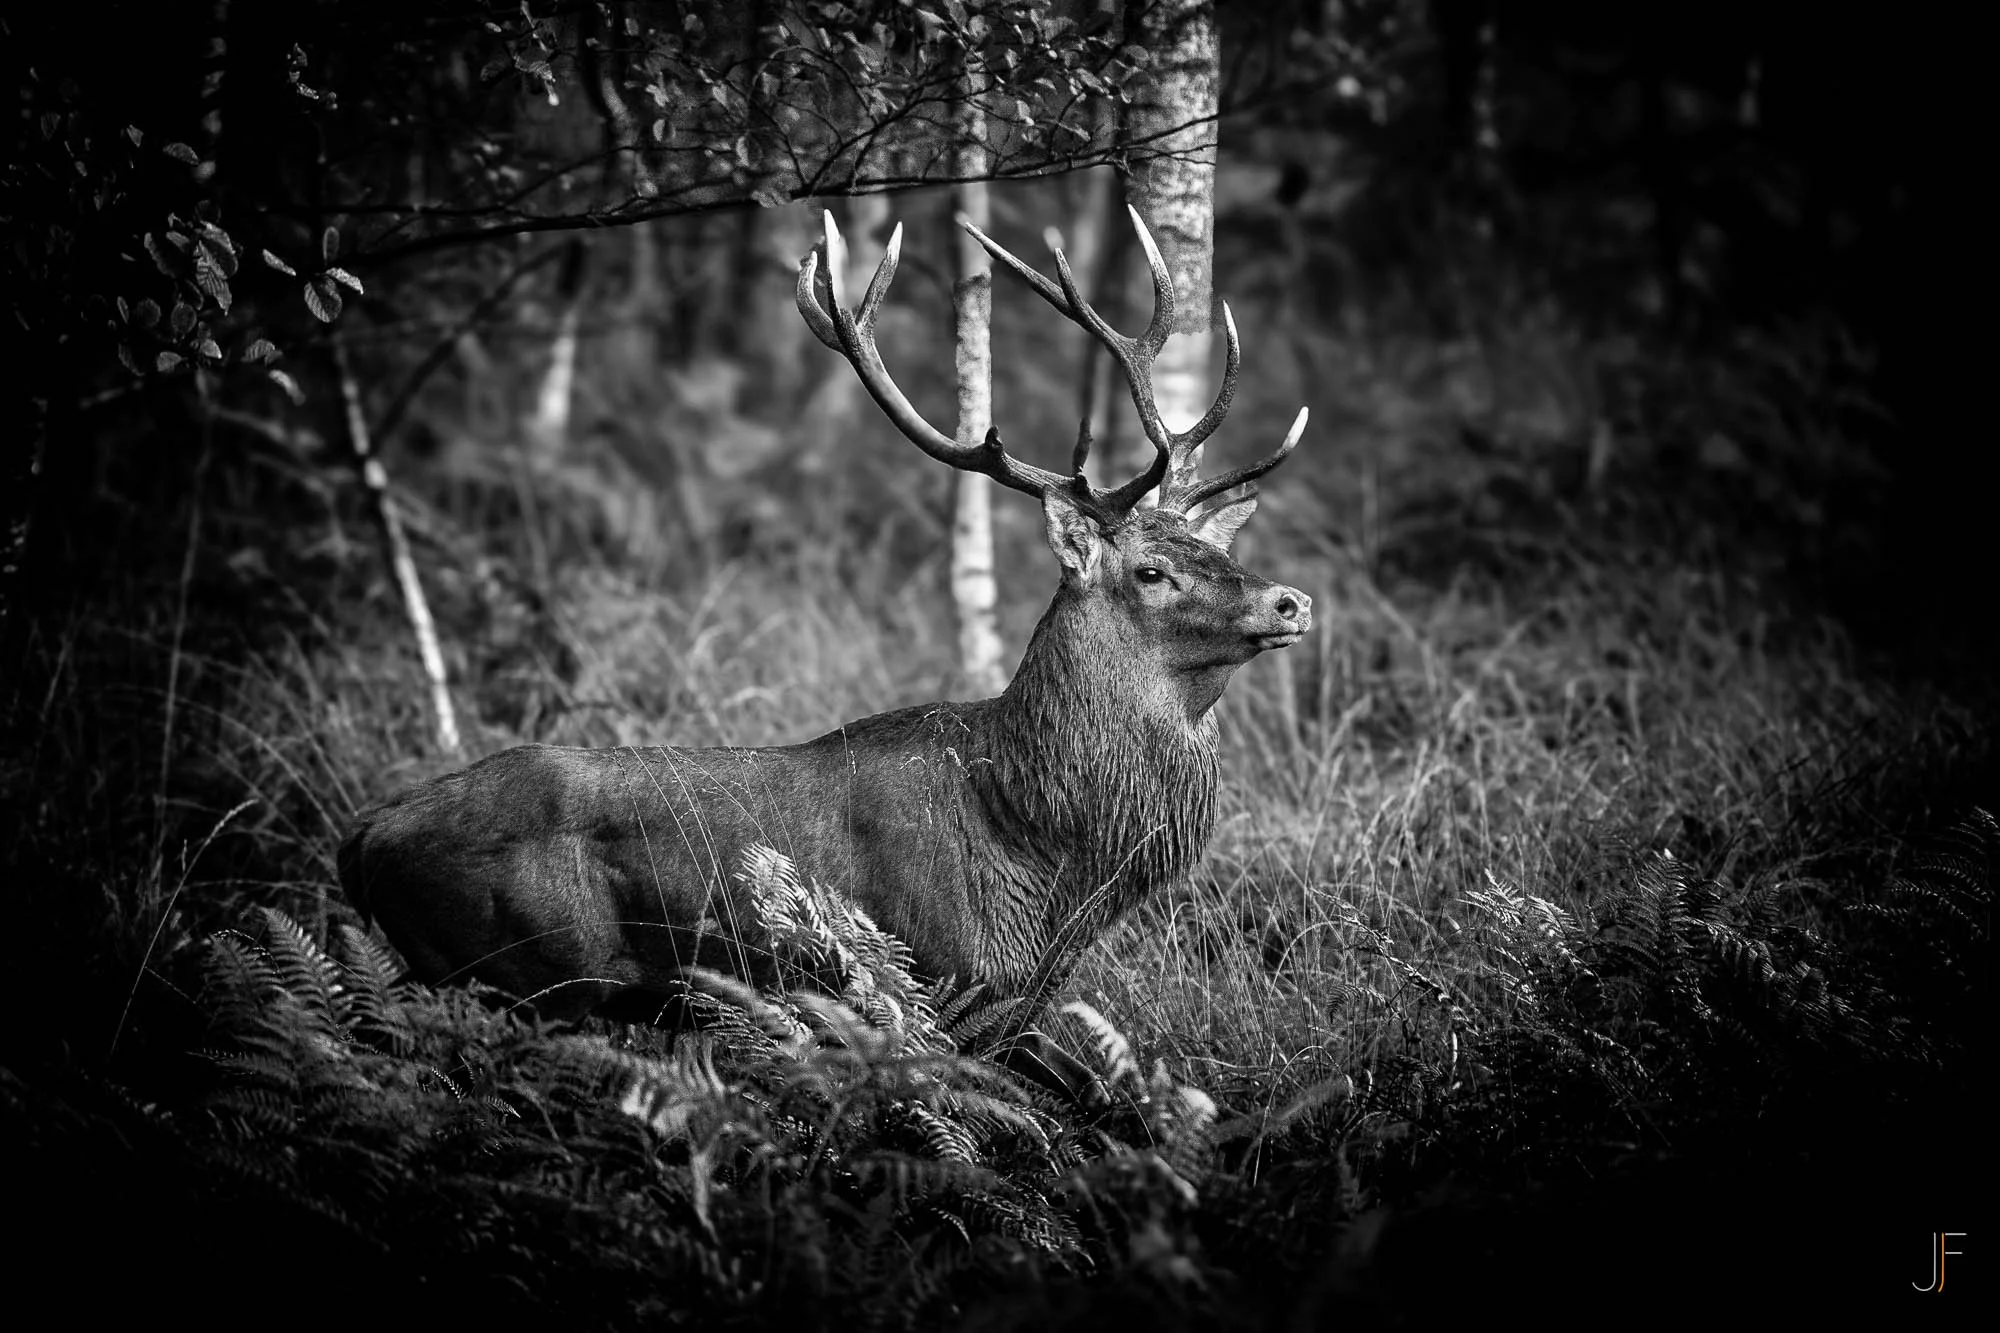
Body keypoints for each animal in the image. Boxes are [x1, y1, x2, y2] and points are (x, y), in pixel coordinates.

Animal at [338, 206, 1311, 1100]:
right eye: (1151, 571)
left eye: (1215, 550)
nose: (1290, 599)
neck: (1044, 863)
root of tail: (361, 839)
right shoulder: (931, 987)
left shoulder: (1008, 1014)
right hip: (517, 974)